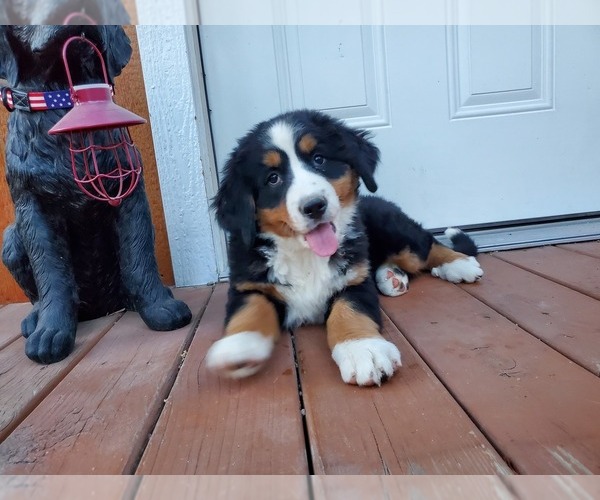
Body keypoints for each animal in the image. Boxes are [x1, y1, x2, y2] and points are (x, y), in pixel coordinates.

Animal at [206, 109, 482, 386]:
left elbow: (349, 310)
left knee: (426, 245)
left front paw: (364, 349)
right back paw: (391, 277)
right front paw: (238, 345)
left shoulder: (353, 280)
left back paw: (458, 264)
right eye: (273, 178)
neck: (306, 257)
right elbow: (250, 308)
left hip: (395, 232)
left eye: (319, 159)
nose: (314, 206)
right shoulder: (249, 284)